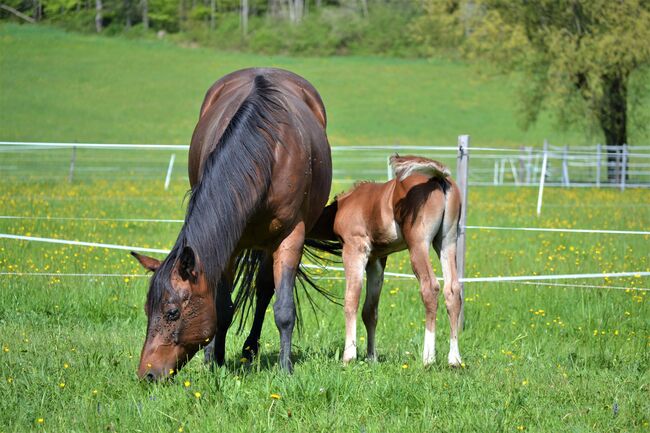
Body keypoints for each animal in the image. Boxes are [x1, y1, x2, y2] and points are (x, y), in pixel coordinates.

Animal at [130, 68, 332, 378]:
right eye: (146, 310)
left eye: (172, 312)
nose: (148, 374)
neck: (269, 153)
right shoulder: (228, 245)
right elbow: (223, 308)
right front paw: (216, 361)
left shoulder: (290, 237)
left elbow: (284, 309)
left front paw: (285, 369)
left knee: (264, 290)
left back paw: (250, 349)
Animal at [308, 154, 460, 364]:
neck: (343, 206)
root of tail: (438, 178)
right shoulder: (377, 259)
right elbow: (370, 311)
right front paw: (371, 357)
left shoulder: (355, 249)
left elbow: (351, 300)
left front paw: (349, 356)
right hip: (447, 242)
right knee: (453, 290)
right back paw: (454, 360)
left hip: (418, 244)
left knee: (430, 288)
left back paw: (428, 358)